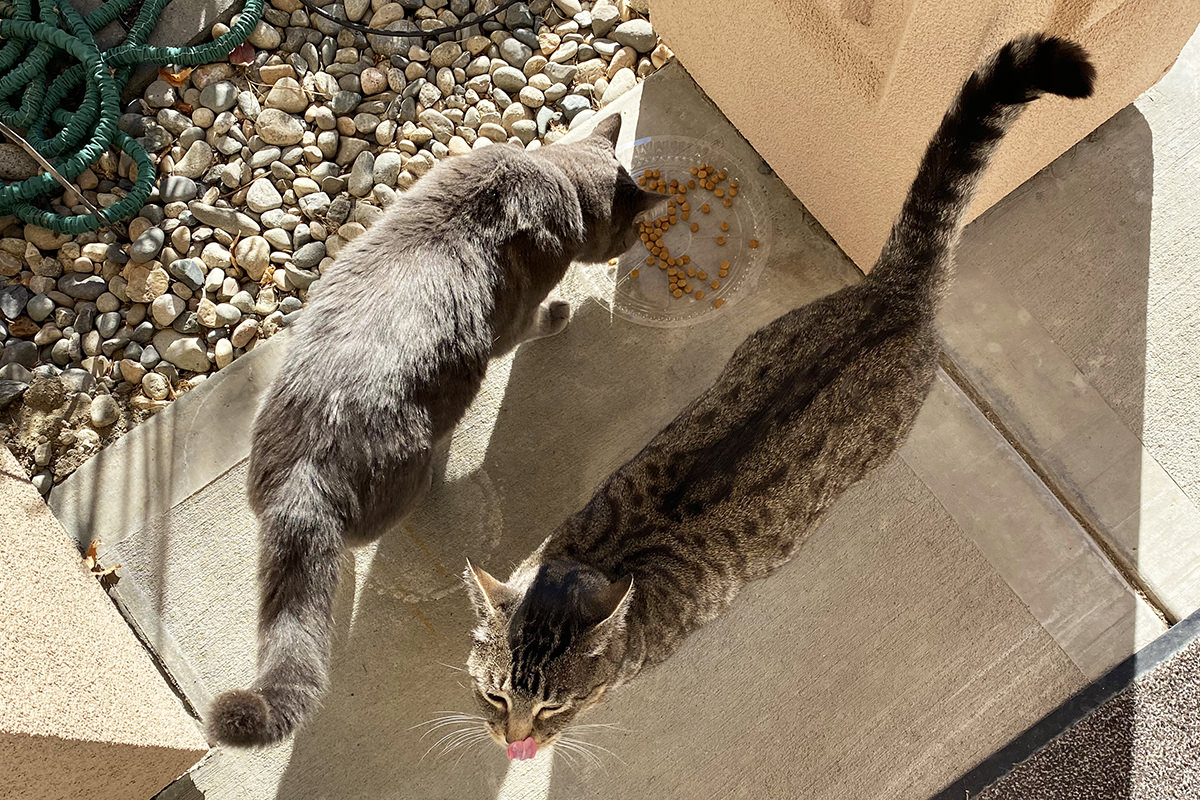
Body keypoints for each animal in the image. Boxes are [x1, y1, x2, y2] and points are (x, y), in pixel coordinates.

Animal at [213, 113, 667, 753]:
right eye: (629, 232)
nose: (628, 248)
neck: (551, 173)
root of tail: (305, 476)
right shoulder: (510, 325)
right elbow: (533, 325)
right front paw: (560, 314)